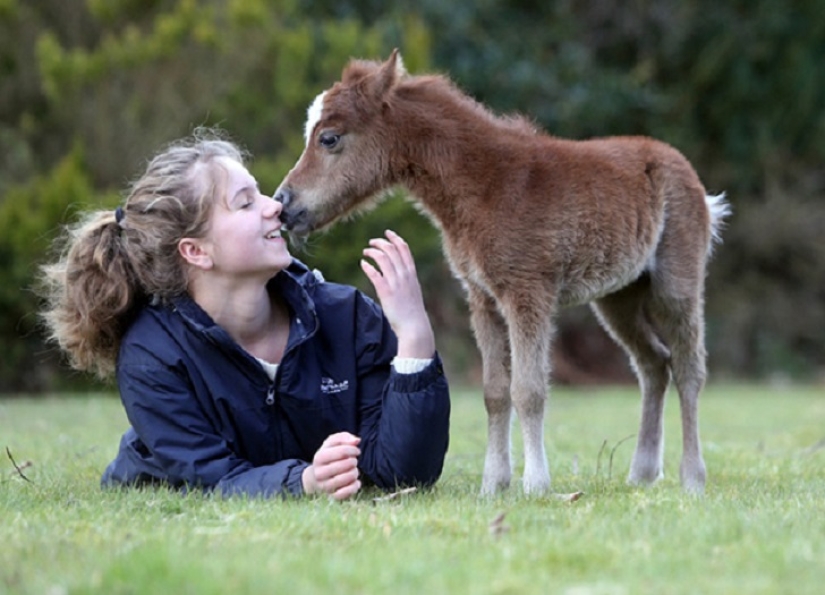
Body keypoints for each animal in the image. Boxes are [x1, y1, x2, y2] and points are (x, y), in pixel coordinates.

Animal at [275, 49, 729, 495]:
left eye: (329, 138)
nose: (283, 203)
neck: (487, 185)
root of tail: (686, 173)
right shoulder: (482, 297)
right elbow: (494, 391)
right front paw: (493, 484)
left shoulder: (528, 292)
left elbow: (528, 390)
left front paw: (535, 485)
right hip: (619, 297)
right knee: (653, 364)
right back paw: (642, 473)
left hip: (676, 283)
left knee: (688, 369)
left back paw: (693, 478)